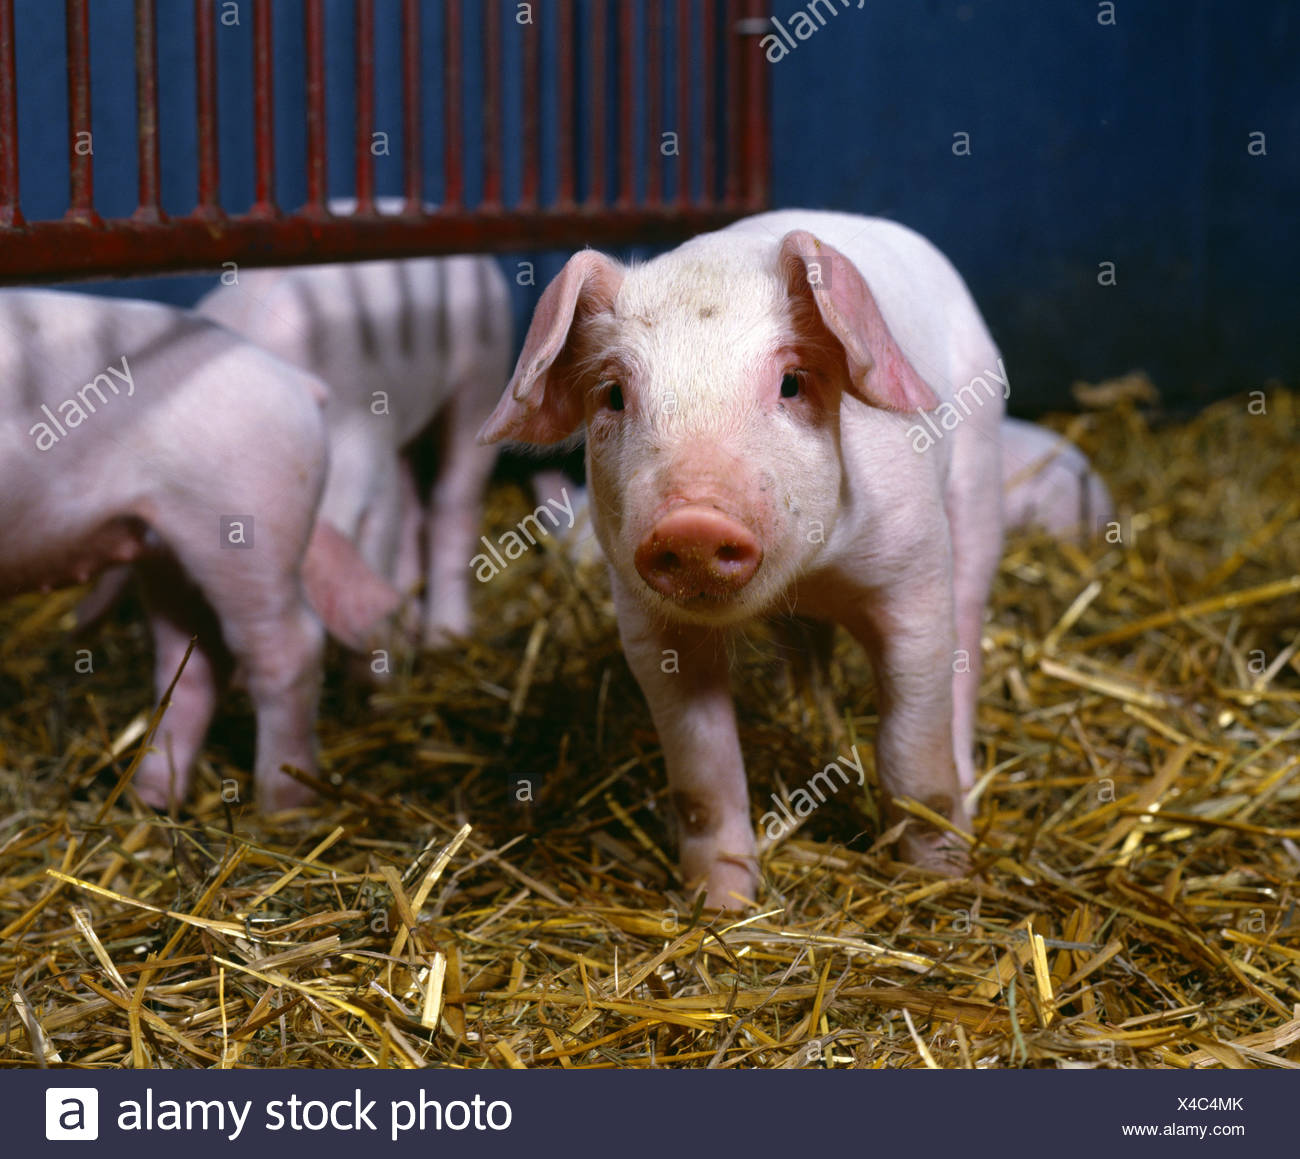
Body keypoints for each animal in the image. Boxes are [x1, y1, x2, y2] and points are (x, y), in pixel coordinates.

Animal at [0, 289, 400, 811]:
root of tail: (298, 381)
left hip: (245, 530)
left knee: (289, 649)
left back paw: (282, 805)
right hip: (164, 547)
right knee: (193, 663)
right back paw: (153, 797)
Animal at [479, 209, 1025, 907]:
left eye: (792, 382)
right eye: (613, 395)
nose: (692, 522)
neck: (813, 574)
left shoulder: (914, 570)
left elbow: (912, 742)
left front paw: (941, 876)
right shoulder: (649, 625)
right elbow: (702, 774)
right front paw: (722, 904)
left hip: (978, 476)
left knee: (968, 622)